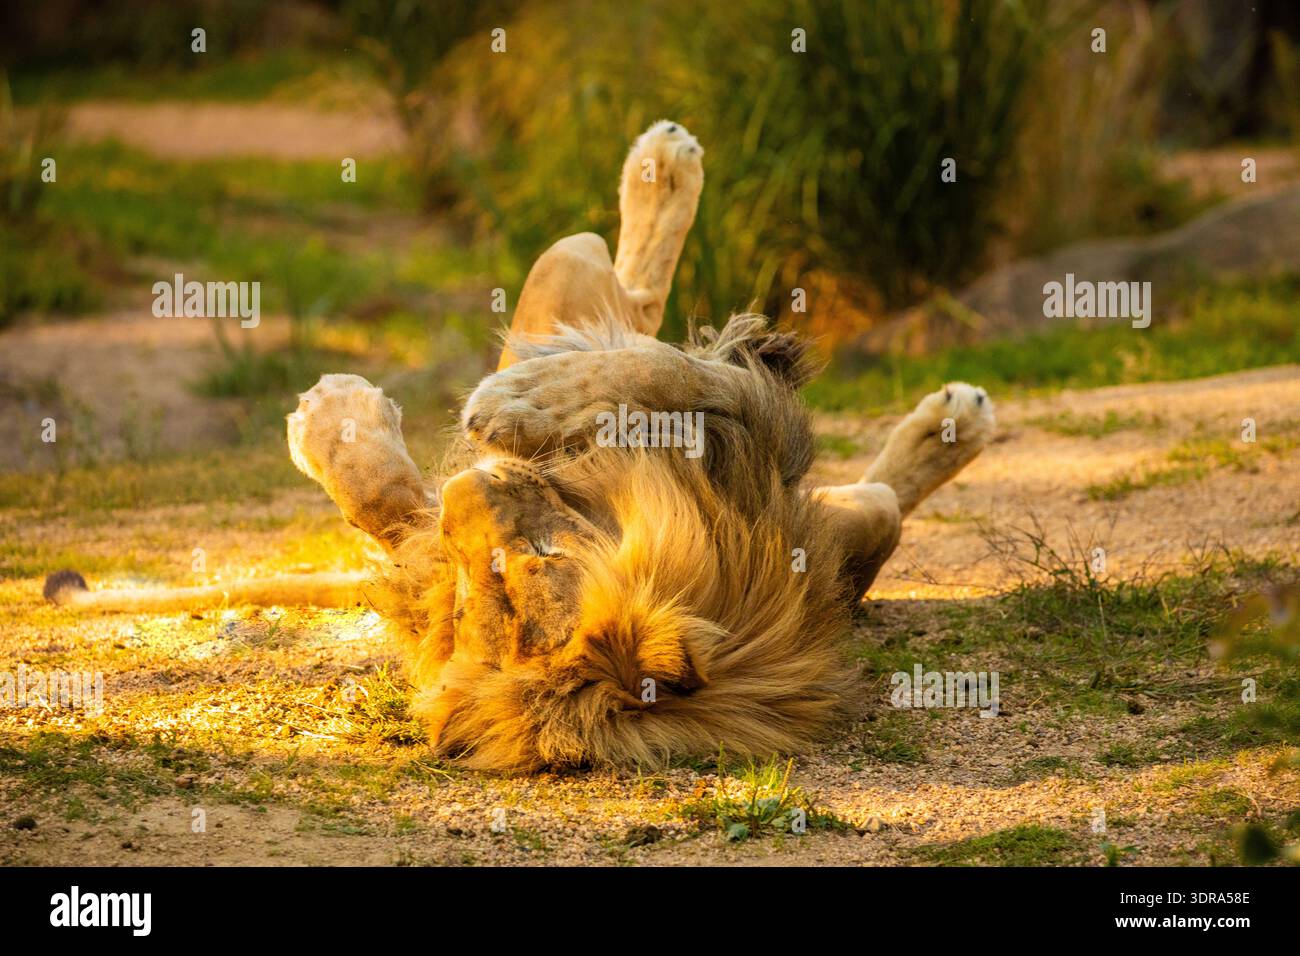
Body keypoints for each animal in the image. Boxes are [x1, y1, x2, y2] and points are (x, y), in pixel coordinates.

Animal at [46, 121, 994, 773]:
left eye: (525, 568)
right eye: (492, 584)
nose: (469, 503)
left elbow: (670, 369)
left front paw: (512, 405)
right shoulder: (756, 443)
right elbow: (673, 369)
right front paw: (529, 403)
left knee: (616, 291)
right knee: (622, 293)